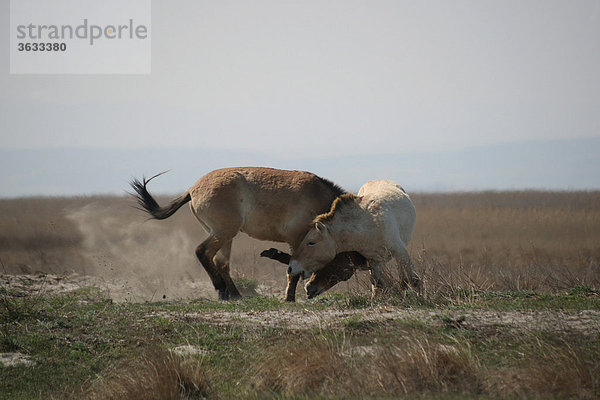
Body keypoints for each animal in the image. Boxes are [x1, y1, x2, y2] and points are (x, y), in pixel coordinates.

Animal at [128, 166, 350, 300]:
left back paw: (233, 295)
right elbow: (293, 269)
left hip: (223, 235)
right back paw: (221, 289)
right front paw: (289, 298)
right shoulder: (297, 239)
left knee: (220, 262)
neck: (318, 197)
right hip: (223, 232)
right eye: (345, 269)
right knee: (202, 251)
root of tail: (192, 189)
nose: (312, 291)